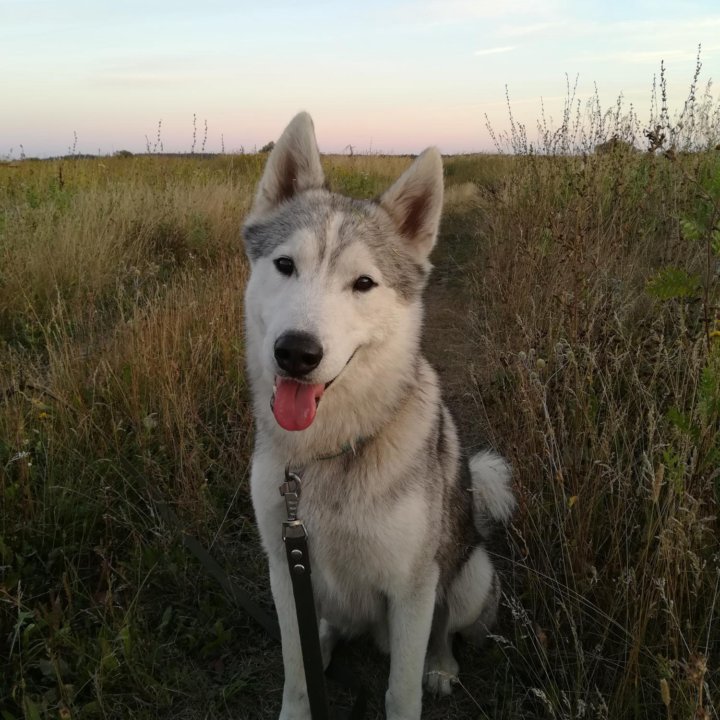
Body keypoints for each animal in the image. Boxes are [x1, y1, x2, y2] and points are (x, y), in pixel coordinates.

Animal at [245, 114, 516, 720]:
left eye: (363, 283)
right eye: (285, 265)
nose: (295, 352)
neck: (328, 452)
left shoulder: (412, 588)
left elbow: (401, 688)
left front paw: (424, 677)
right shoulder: (283, 569)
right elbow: (296, 675)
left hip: (469, 577)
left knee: (444, 629)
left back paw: (442, 665)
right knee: (322, 632)